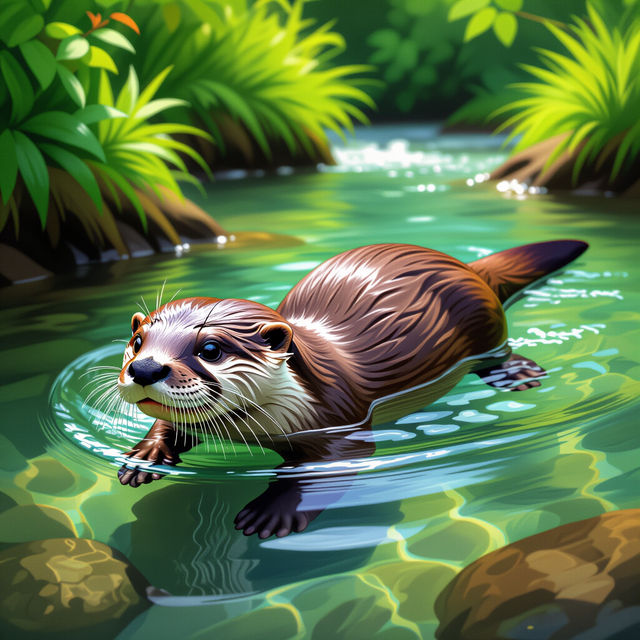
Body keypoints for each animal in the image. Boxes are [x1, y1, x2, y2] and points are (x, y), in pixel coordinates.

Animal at [116, 240, 588, 537]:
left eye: (210, 349)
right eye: (138, 341)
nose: (144, 368)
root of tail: (468, 267)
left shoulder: (340, 420)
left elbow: (326, 467)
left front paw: (273, 510)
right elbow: (170, 424)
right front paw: (145, 455)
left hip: (485, 323)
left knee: (496, 352)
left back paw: (515, 373)